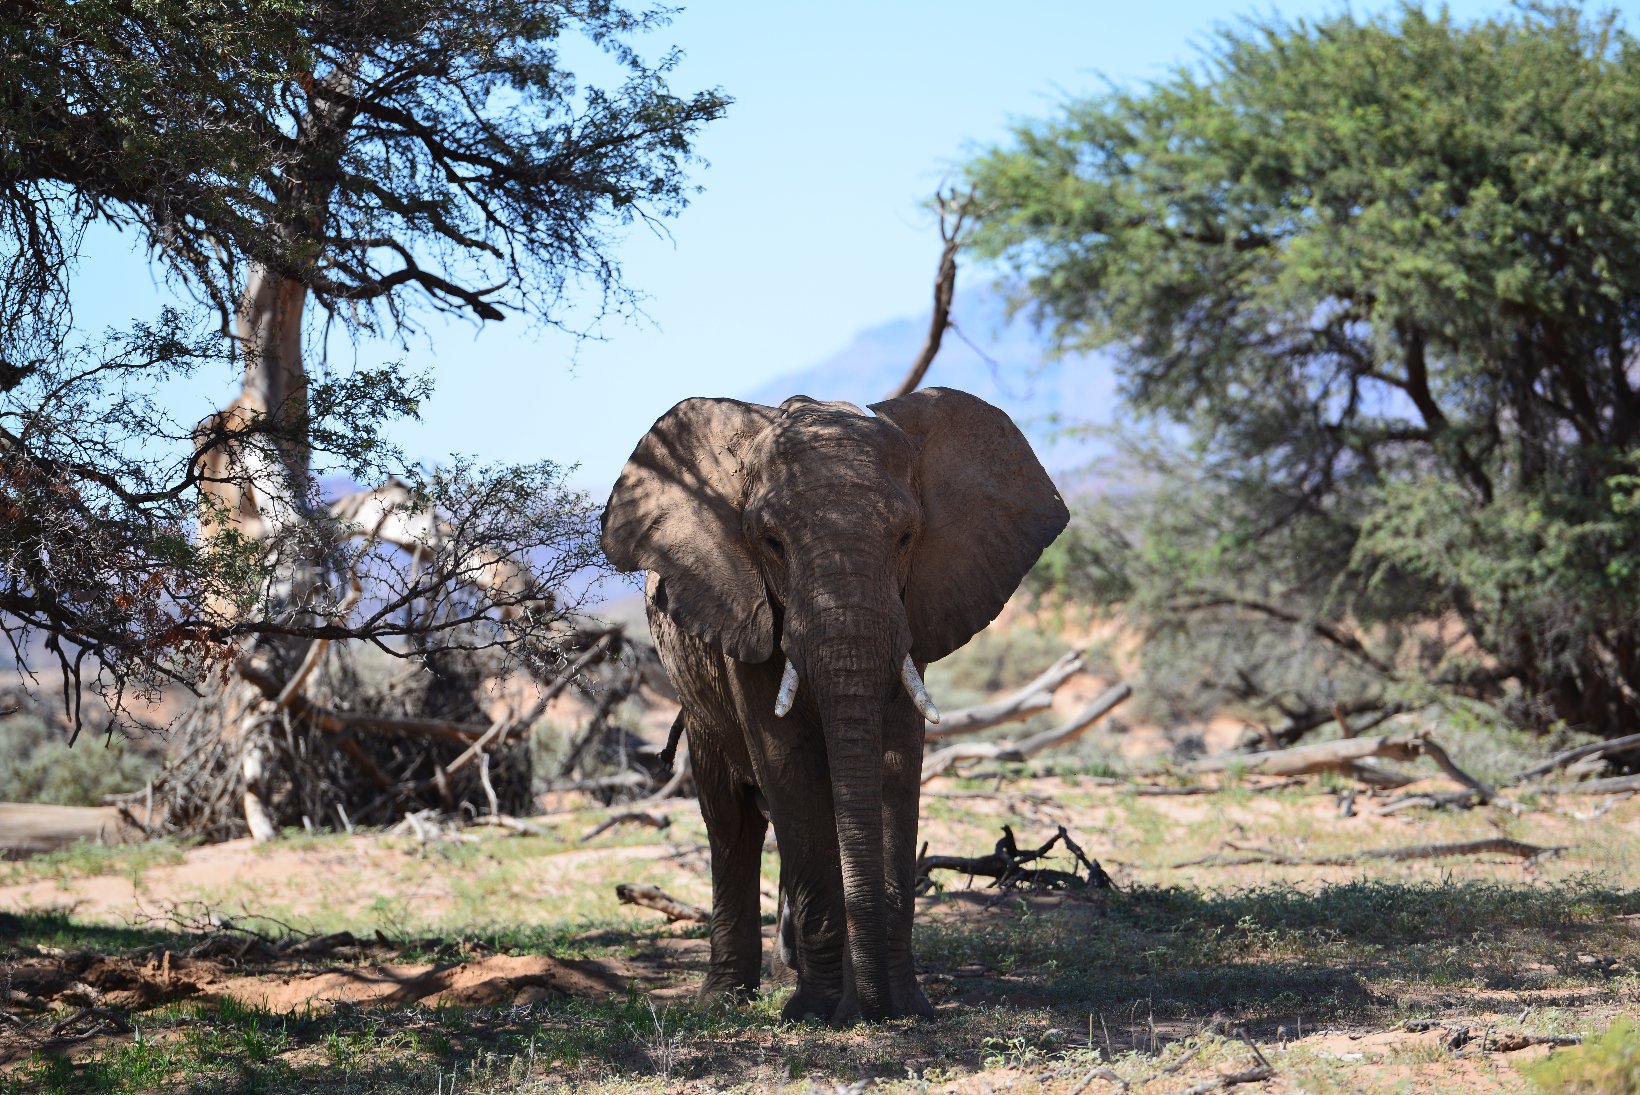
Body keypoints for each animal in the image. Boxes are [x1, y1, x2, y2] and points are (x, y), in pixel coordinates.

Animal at [600, 386, 1067, 1023]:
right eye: (771, 543)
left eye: (906, 538)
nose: (874, 1010)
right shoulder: (745, 612)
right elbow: (788, 765)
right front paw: (816, 1013)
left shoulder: (912, 613)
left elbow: (896, 762)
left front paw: (903, 1006)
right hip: (698, 700)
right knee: (732, 821)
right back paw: (727, 998)